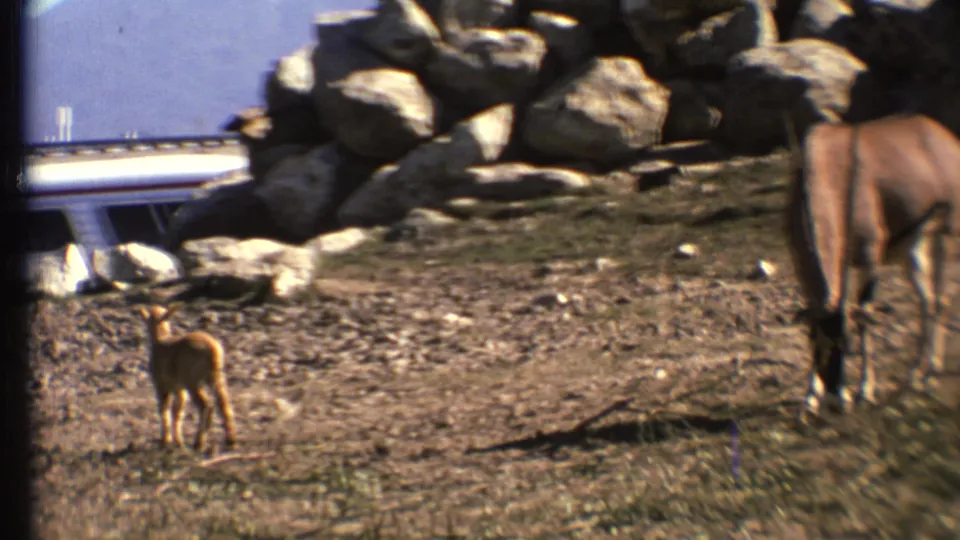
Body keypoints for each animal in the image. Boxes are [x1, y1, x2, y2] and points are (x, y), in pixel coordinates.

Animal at [139, 303, 237, 451]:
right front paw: (178, 441)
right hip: (216, 377)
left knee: (205, 405)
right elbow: (178, 411)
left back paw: (199, 443)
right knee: (223, 402)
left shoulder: (162, 385)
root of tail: (213, 350)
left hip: (193, 381)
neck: (160, 340)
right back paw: (230, 440)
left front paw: (165, 441)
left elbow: (164, 409)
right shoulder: (179, 389)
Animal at [784, 113, 960, 425]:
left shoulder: (869, 259)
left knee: (940, 299)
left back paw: (930, 372)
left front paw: (864, 391)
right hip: (911, 248)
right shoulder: (802, 266)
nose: (834, 401)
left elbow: (864, 318)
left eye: (848, 345)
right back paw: (918, 374)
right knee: (927, 299)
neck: (827, 170)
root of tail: (941, 135)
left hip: (946, 234)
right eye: (819, 345)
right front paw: (809, 400)